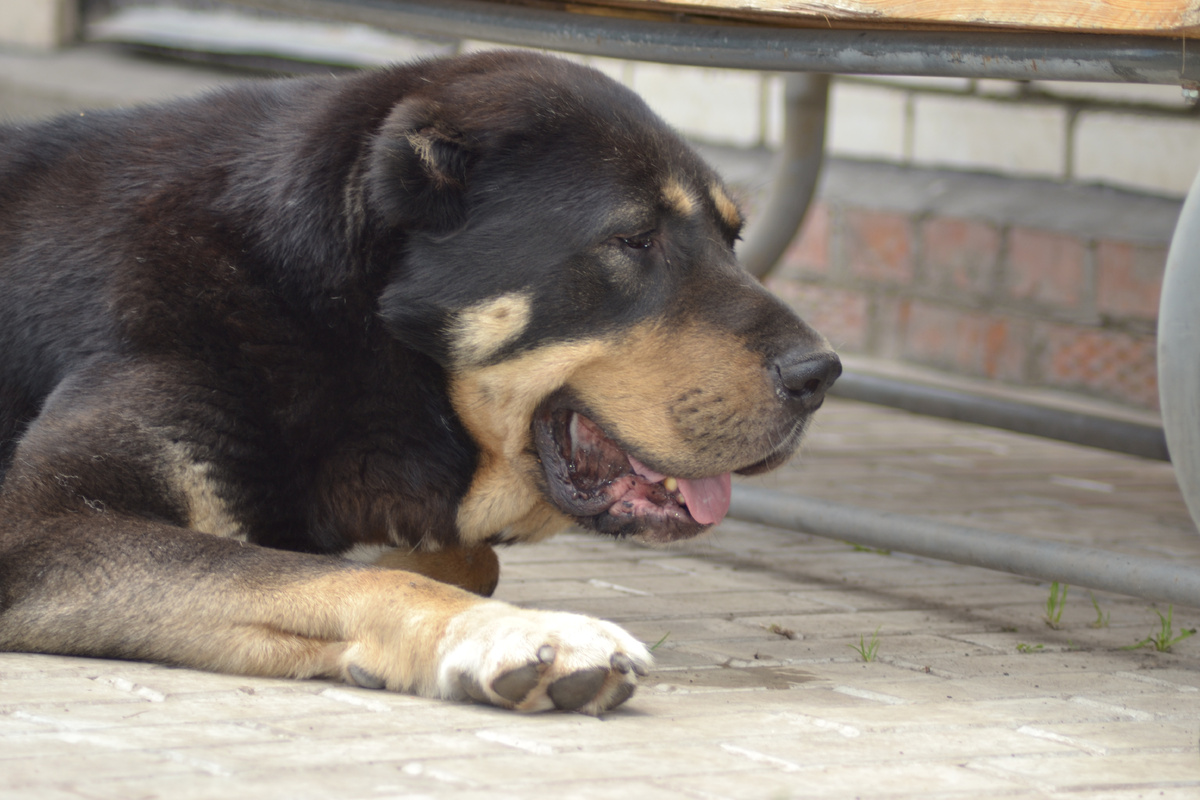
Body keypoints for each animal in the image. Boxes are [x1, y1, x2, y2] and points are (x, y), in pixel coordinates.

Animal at [0, 51, 840, 714]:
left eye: (732, 239)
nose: (822, 373)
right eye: (633, 240)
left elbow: (456, 560)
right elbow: (316, 576)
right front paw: (521, 633)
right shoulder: (43, 527)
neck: (329, 312)